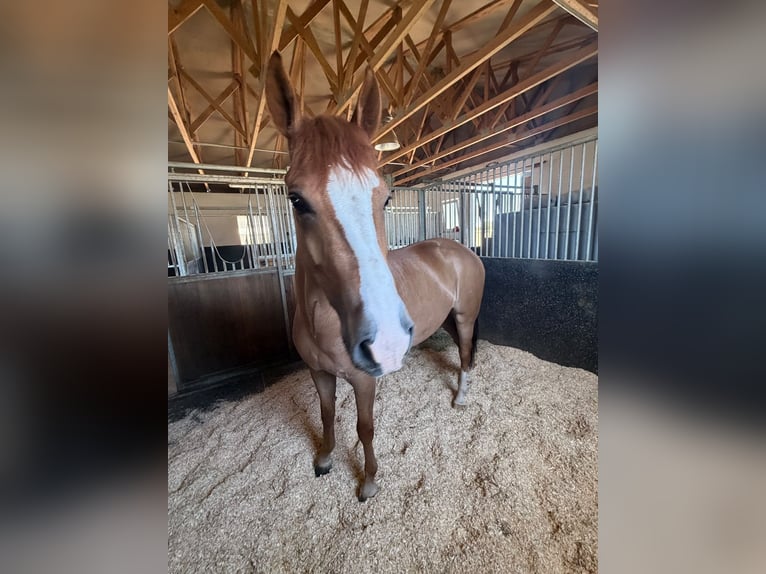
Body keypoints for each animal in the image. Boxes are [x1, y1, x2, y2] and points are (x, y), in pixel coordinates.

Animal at [265, 52, 485, 501]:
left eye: (385, 198)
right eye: (296, 199)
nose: (385, 341)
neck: (323, 320)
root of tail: (460, 249)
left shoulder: (365, 381)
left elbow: (364, 428)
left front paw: (368, 482)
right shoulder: (319, 374)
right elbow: (326, 415)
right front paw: (324, 460)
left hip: (465, 317)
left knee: (466, 355)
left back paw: (460, 399)